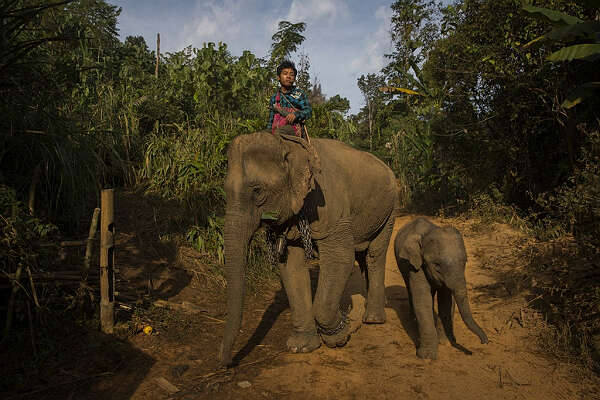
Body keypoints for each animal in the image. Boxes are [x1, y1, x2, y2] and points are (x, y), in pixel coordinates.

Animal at [220, 131, 398, 366]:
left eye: (257, 191)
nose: (225, 364)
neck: (290, 145)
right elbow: (291, 266)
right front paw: (301, 347)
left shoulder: (331, 206)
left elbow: (340, 258)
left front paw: (339, 336)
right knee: (362, 255)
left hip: (391, 209)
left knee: (374, 254)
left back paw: (373, 319)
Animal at [394, 217, 488, 360]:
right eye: (437, 265)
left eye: (465, 262)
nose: (485, 341)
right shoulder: (415, 265)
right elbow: (422, 299)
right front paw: (427, 356)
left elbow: (446, 300)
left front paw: (446, 342)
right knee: (410, 288)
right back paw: (413, 317)